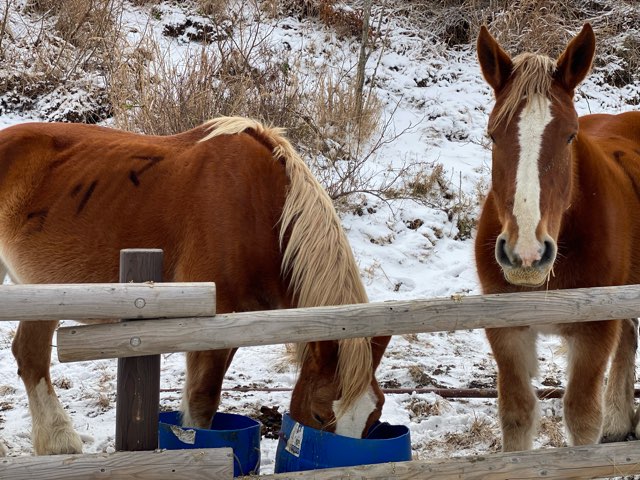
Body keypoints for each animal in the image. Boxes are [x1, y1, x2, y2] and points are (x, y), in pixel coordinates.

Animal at [0, 116, 390, 454]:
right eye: (321, 415)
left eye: (374, 416)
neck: (257, 208)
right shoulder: (207, 326)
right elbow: (202, 401)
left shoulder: (233, 326)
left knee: (30, 354)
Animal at [472, 22, 640, 450]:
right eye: (493, 135)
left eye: (569, 135)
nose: (526, 254)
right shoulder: (506, 331)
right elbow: (516, 415)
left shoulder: (593, 332)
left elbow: (582, 418)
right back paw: (619, 420)